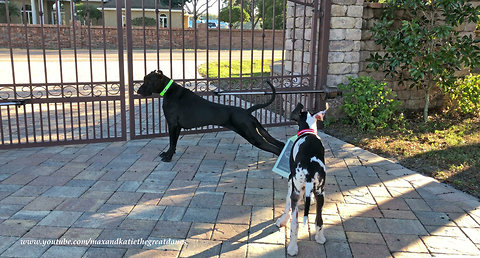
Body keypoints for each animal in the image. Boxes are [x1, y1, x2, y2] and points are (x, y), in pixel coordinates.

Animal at [136, 69, 284, 160]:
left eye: (148, 80)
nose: (138, 91)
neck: (168, 90)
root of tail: (246, 111)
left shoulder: (172, 125)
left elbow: (172, 142)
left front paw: (168, 157)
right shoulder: (176, 127)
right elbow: (173, 143)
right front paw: (168, 154)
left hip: (251, 135)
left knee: (275, 149)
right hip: (259, 130)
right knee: (280, 144)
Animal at [276, 103, 328, 256]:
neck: (308, 132)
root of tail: (310, 170)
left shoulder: (290, 182)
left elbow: (287, 204)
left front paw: (282, 220)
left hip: (296, 189)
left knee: (295, 224)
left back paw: (292, 248)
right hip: (321, 192)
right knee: (319, 220)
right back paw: (320, 238)